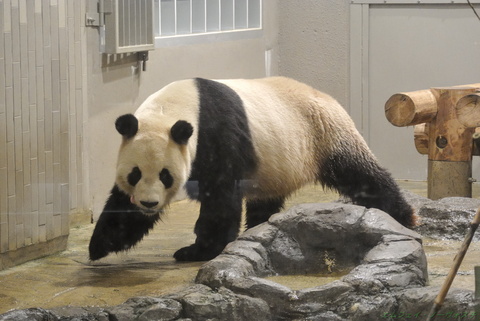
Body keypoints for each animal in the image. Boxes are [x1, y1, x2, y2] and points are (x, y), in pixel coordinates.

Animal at [89, 76, 416, 262]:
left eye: (165, 176)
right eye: (134, 174)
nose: (148, 203)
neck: (174, 109)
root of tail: (329, 98)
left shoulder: (217, 134)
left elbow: (220, 197)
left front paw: (199, 251)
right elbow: (120, 203)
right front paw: (100, 244)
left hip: (324, 134)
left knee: (360, 174)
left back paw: (404, 216)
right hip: (276, 161)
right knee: (266, 200)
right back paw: (258, 230)